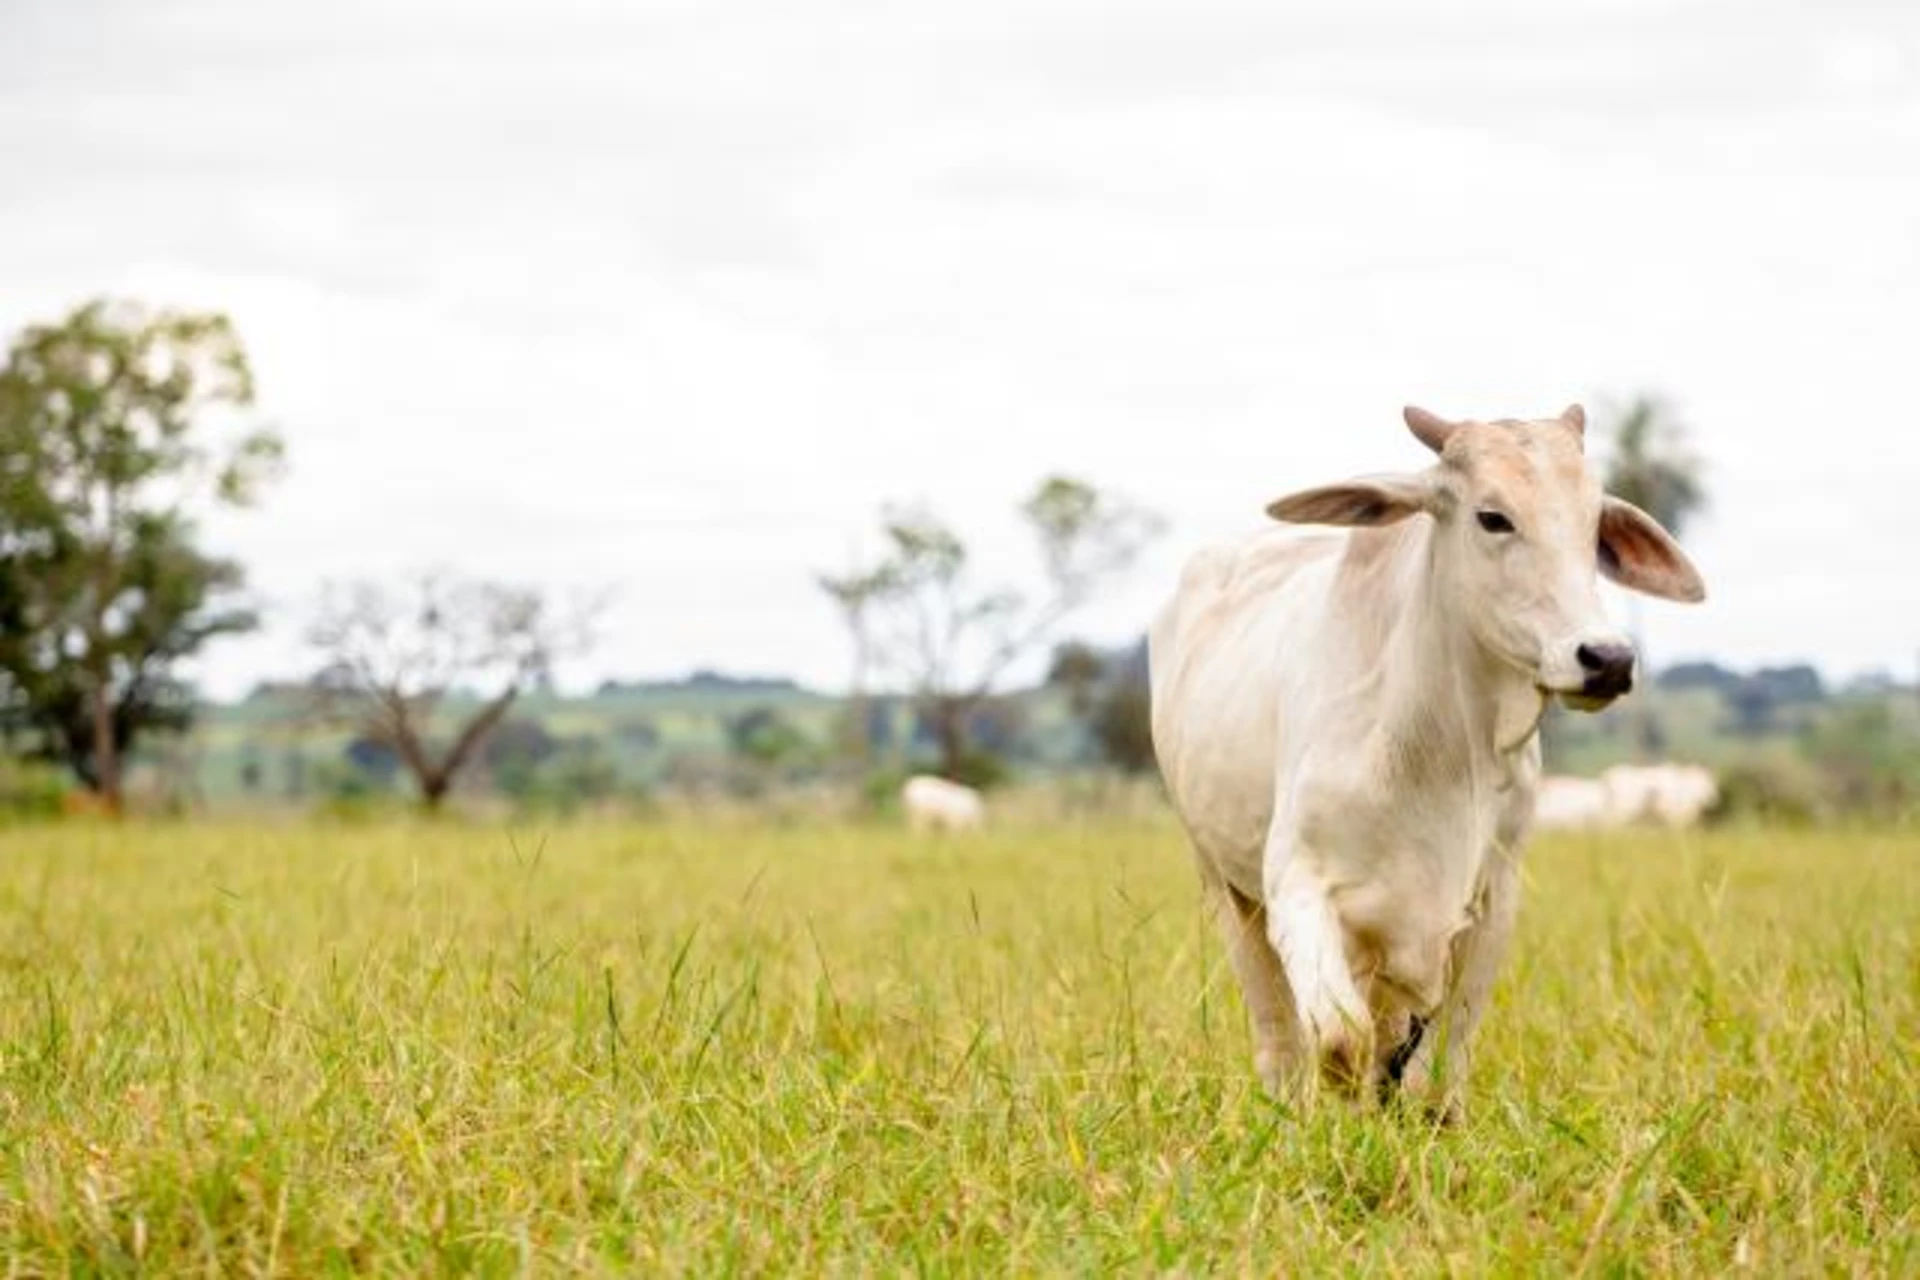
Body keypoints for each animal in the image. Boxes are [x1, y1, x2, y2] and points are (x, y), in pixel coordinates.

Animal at [1148, 403, 1705, 1118]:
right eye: (1492, 517)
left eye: (1593, 524)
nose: (1607, 658)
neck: (1440, 750)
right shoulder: (1298, 884)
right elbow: (1341, 1039)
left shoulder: (1490, 904)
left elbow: (1439, 1061)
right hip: (1224, 884)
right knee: (1278, 1036)